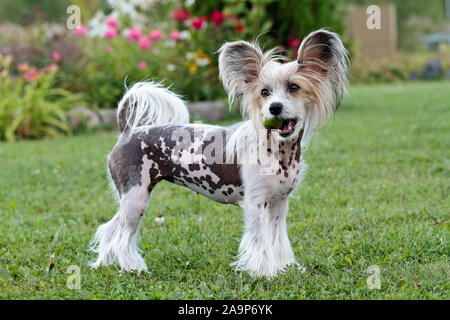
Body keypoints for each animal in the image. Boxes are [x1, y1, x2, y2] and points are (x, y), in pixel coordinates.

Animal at [89, 28, 350, 278]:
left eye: (294, 87)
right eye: (264, 92)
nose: (274, 108)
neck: (278, 151)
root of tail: (128, 130)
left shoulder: (279, 204)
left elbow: (277, 241)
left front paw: (284, 268)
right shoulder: (255, 204)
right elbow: (260, 242)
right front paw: (265, 273)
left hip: (132, 199)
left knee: (109, 228)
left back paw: (104, 264)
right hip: (136, 198)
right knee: (123, 237)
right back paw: (132, 268)